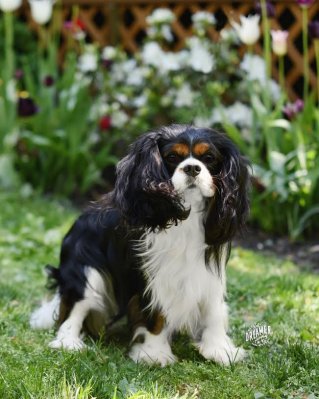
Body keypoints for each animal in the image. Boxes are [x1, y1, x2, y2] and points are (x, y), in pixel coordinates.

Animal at [30, 124, 250, 366]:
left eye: (209, 158)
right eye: (172, 157)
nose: (192, 168)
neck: (187, 214)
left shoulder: (207, 270)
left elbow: (214, 309)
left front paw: (219, 348)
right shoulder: (150, 274)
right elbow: (155, 312)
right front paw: (154, 353)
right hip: (86, 270)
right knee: (74, 307)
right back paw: (68, 341)